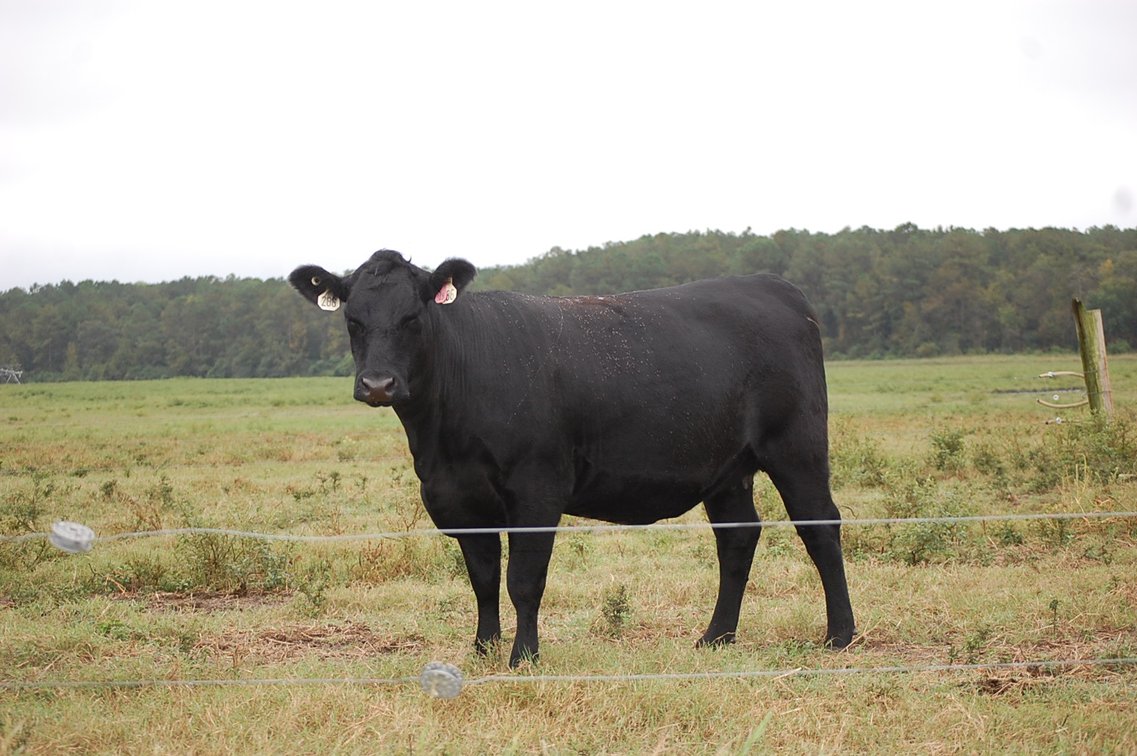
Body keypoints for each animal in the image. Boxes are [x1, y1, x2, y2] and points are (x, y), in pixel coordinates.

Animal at [290, 249, 856, 667]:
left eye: (413, 316)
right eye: (353, 320)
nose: (378, 384)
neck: (442, 435)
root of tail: (774, 286)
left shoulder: (537, 490)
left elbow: (523, 580)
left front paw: (523, 657)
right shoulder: (457, 496)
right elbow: (483, 577)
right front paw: (482, 649)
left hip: (797, 446)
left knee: (820, 526)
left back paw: (840, 635)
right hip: (726, 468)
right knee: (737, 538)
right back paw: (716, 637)